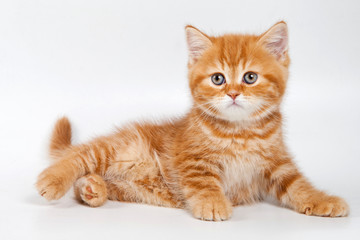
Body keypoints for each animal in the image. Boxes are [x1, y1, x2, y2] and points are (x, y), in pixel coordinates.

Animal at [36, 21, 348, 220]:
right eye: (217, 79)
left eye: (250, 77)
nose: (233, 93)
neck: (241, 132)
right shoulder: (192, 159)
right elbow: (204, 181)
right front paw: (212, 203)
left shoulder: (277, 164)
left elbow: (298, 185)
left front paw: (323, 200)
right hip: (120, 149)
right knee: (79, 156)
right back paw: (53, 179)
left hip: (134, 189)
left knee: (95, 181)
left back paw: (92, 189)